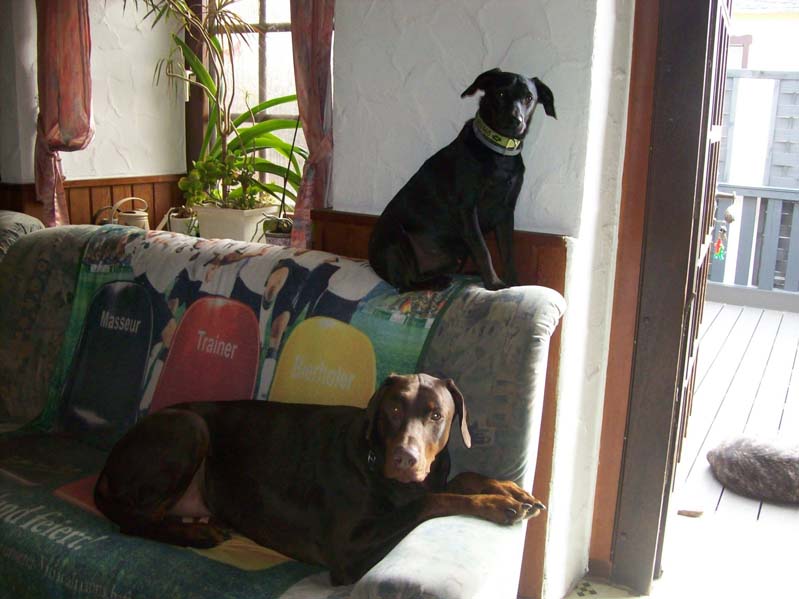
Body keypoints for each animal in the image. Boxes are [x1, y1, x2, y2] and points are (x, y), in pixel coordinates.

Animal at [94, 373, 545, 584]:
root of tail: (107, 464)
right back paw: (197, 534)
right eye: (393, 410)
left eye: (436, 414)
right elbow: (429, 502)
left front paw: (508, 489)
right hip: (189, 427)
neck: (374, 457)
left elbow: (454, 480)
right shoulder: (350, 554)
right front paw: (498, 504)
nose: (405, 458)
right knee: (135, 522)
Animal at [368, 68, 556, 291]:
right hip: (397, 238)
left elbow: (508, 252)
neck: (499, 152)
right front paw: (494, 284)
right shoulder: (467, 209)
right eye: (501, 93)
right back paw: (438, 282)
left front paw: (514, 283)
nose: (515, 120)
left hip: (457, 254)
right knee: (405, 285)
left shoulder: (506, 212)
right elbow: (483, 250)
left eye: (529, 98)